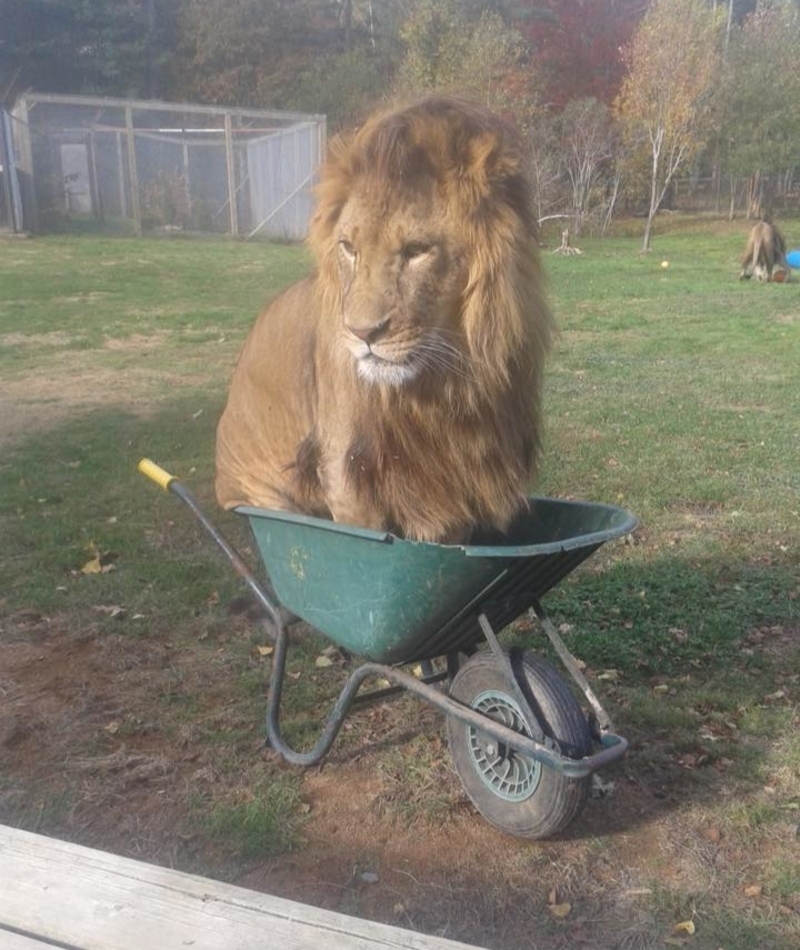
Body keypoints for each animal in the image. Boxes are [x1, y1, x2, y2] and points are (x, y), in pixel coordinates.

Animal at [219, 97, 556, 548]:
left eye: (416, 251)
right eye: (349, 248)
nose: (362, 333)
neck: (439, 389)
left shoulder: (455, 485)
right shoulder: (348, 476)